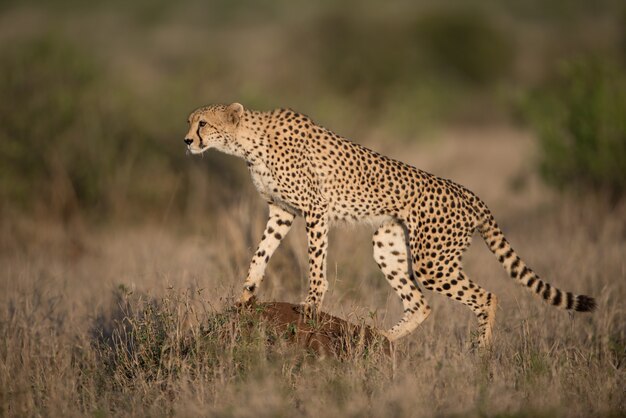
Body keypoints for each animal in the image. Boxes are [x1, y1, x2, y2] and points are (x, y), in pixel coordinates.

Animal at [182, 103, 596, 348]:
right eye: (189, 121)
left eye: (203, 123)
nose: (186, 141)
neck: (248, 143)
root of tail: (469, 192)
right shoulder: (281, 212)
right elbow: (261, 253)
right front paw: (245, 296)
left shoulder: (314, 210)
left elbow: (315, 262)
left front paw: (311, 305)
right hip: (388, 246)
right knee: (421, 303)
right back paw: (384, 338)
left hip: (432, 260)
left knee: (487, 296)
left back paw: (479, 354)